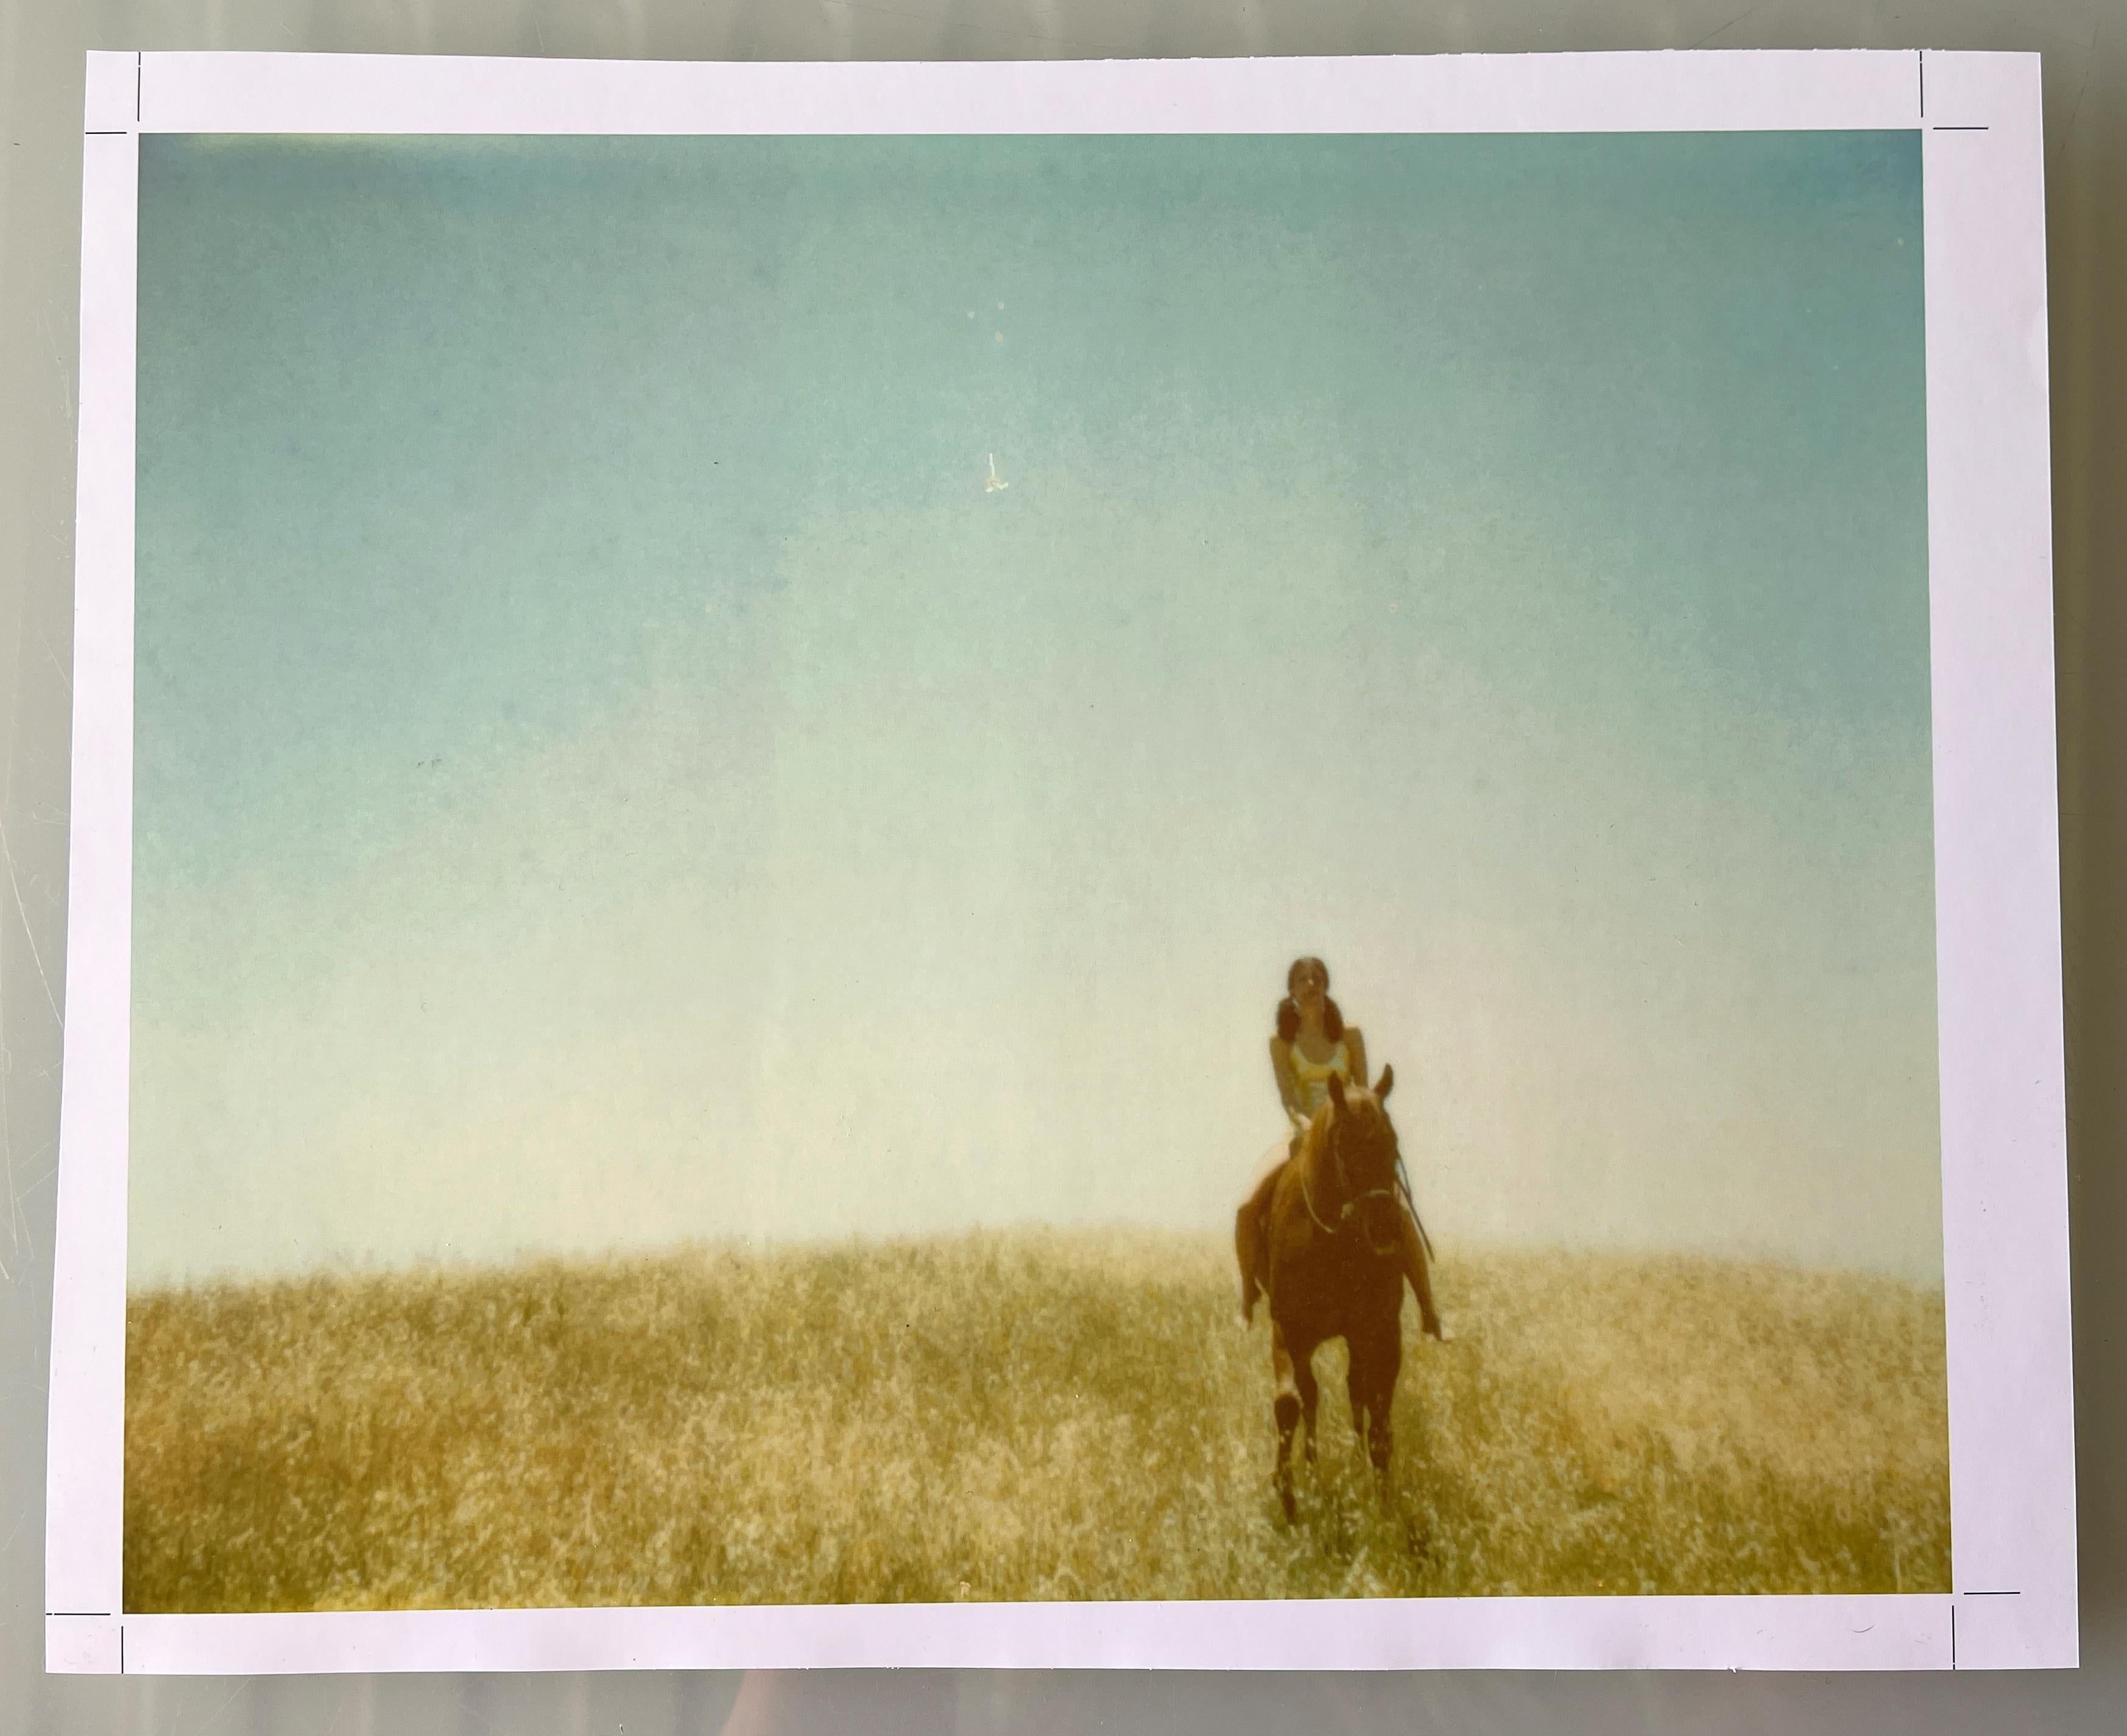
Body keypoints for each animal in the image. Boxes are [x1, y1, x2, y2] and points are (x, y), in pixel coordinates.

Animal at [1242, 1064, 1403, 1523]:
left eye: (1393, 1143)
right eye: (1344, 1145)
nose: (1387, 1229)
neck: (1334, 1240)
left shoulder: (1380, 1332)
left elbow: (1379, 1414)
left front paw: (1383, 1500)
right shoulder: (1290, 1331)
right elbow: (1290, 1403)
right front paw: (1289, 1493)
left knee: (1355, 1391)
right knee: (1313, 1396)